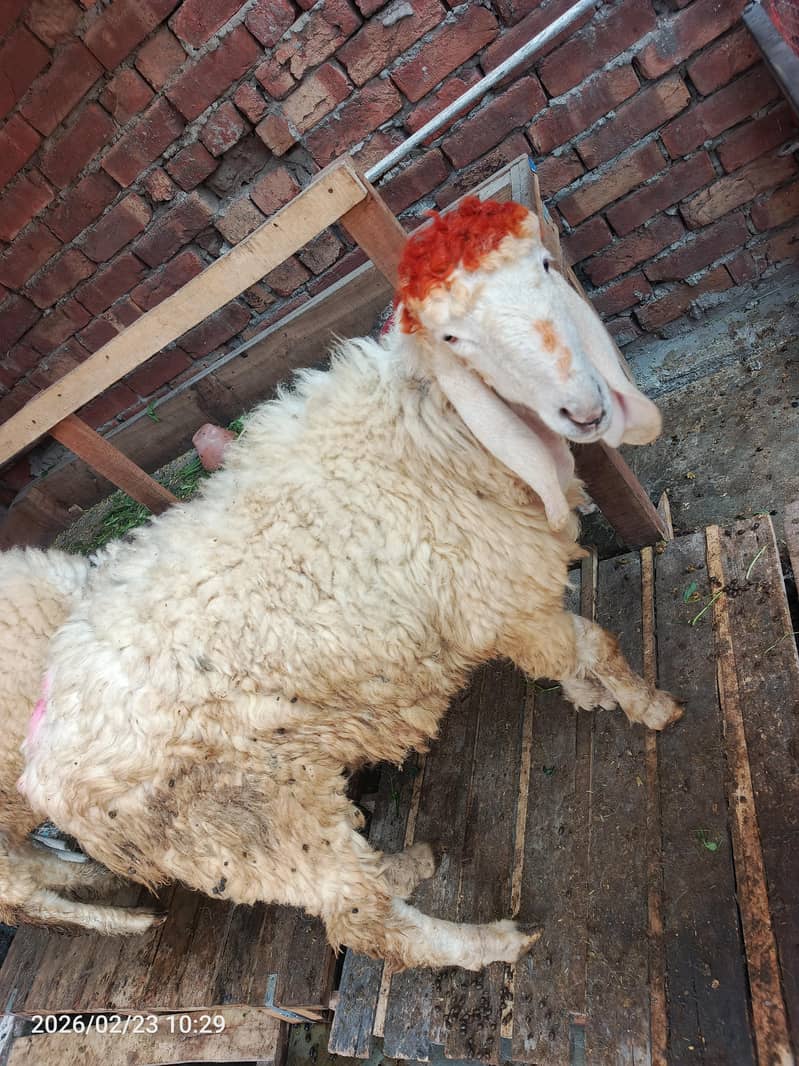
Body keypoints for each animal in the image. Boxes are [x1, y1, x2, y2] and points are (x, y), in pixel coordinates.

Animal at [19, 197, 682, 971]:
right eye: (453, 337)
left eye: (546, 265)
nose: (584, 410)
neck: (432, 434)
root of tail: (44, 770)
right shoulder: (503, 602)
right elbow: (597, 644)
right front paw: (648, 707)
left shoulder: (511, 604)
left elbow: (567, 656)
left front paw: (589, 694)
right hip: (256, 823)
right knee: (364, 923)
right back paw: (485, 943)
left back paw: (405, 867)